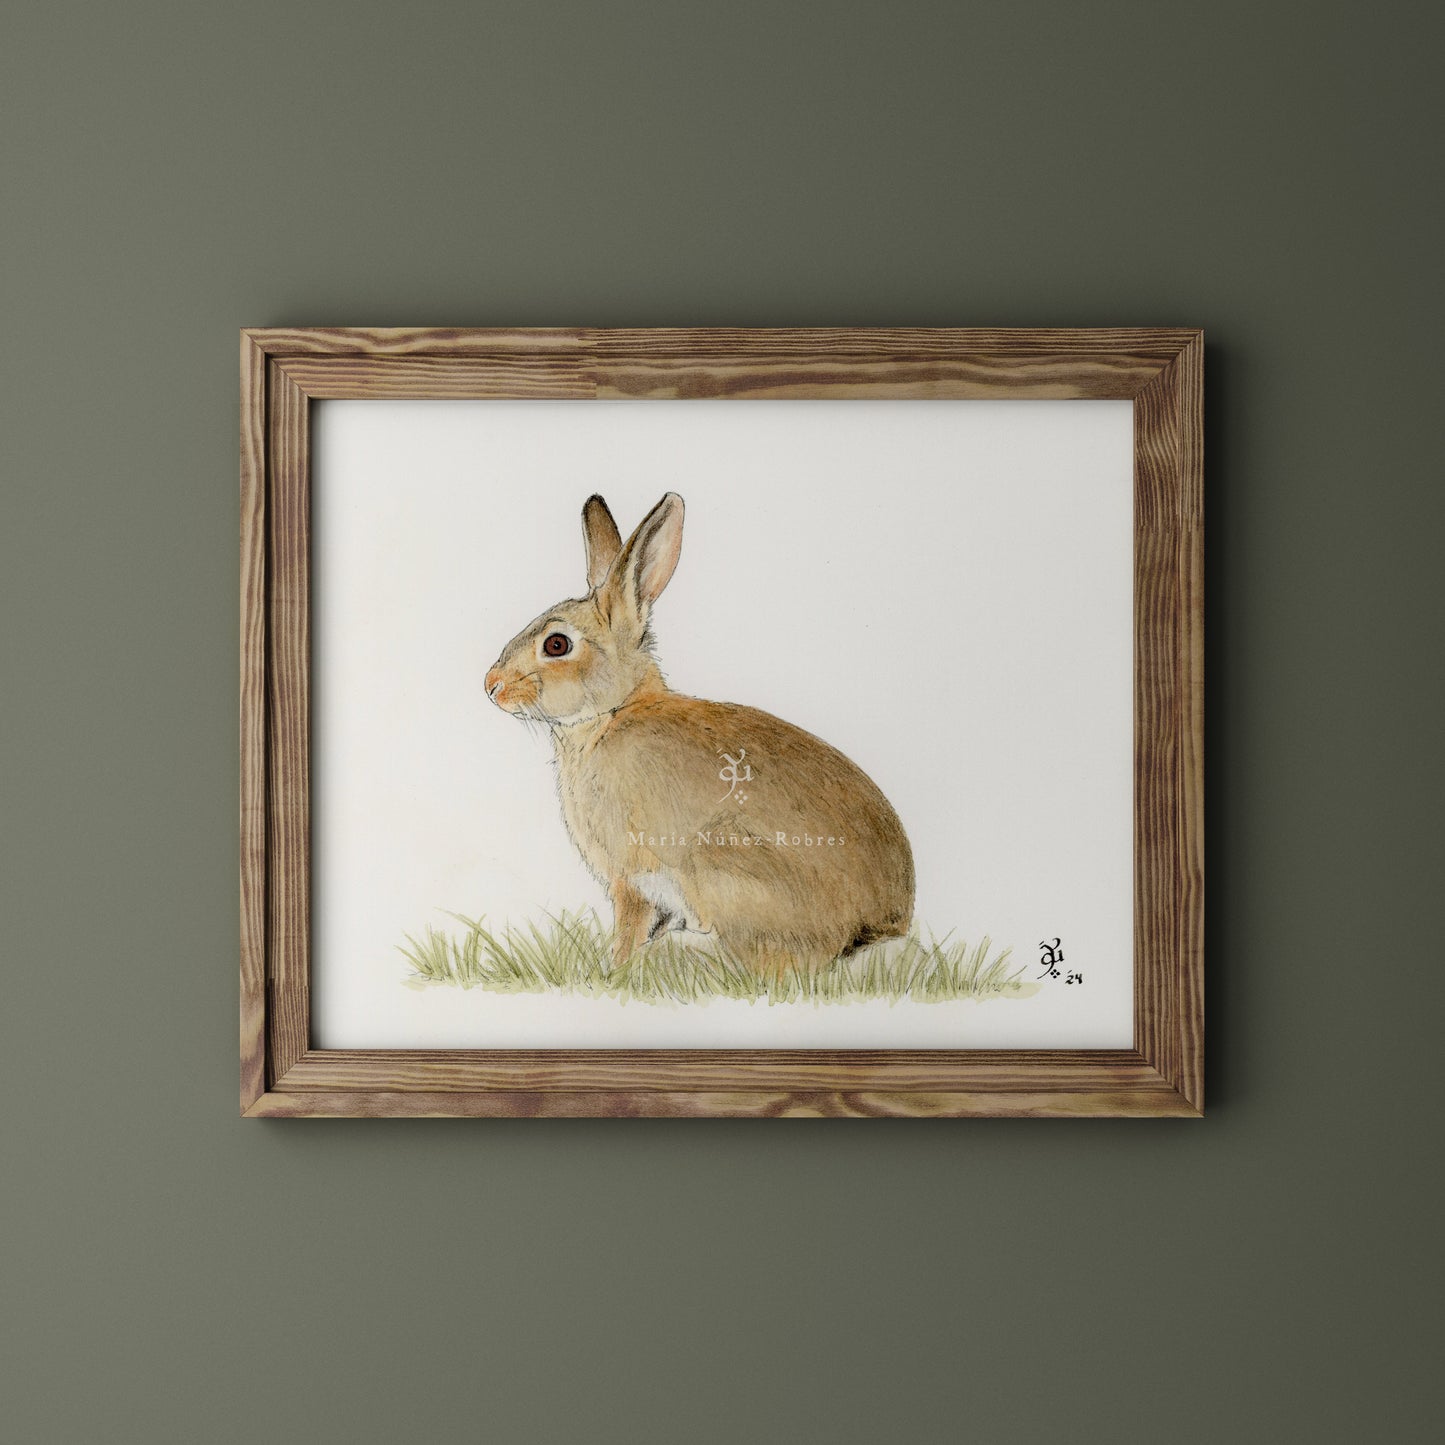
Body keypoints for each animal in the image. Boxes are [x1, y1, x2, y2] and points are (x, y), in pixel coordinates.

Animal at [484, 492, 914, 974]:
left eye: (556, 644)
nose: (491, 685)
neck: (613, 711)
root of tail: (877, 927)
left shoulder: (631, 876)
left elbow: (629, 927)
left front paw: (613, 971)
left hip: (722, 866)